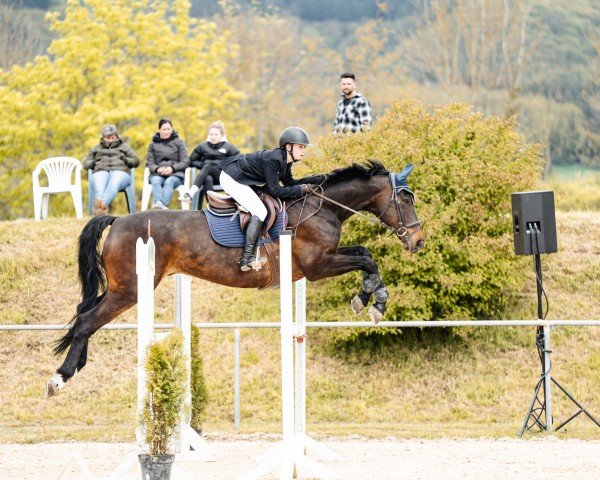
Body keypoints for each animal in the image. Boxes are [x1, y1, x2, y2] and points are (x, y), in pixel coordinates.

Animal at [45, 161, 422, 398]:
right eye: (405, 198)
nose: (418, 242)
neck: (322, 207)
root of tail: (117, 220)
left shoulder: (321, 262)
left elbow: (364, 254)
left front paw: (371, 297)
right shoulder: (317, 266)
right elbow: (366, 258)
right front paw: (372, 301)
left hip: (121, 288)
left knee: (84, 313)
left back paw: (75, 366)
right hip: (131, 289)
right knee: (88, 320)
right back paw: (60, 377)